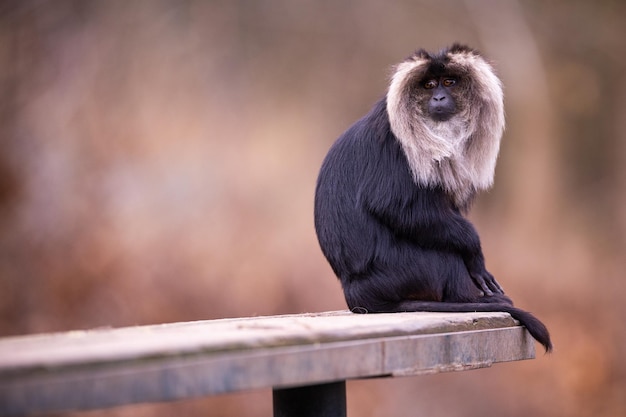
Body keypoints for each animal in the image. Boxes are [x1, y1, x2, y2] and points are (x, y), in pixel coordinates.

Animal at [312, 44, 552, 352]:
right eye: (428, 85)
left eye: (448, 82)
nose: (438, 97)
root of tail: (356, 293)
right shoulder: (396, 144)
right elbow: (394, 208)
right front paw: (476, 254)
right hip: (408, 269)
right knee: (445, 254)